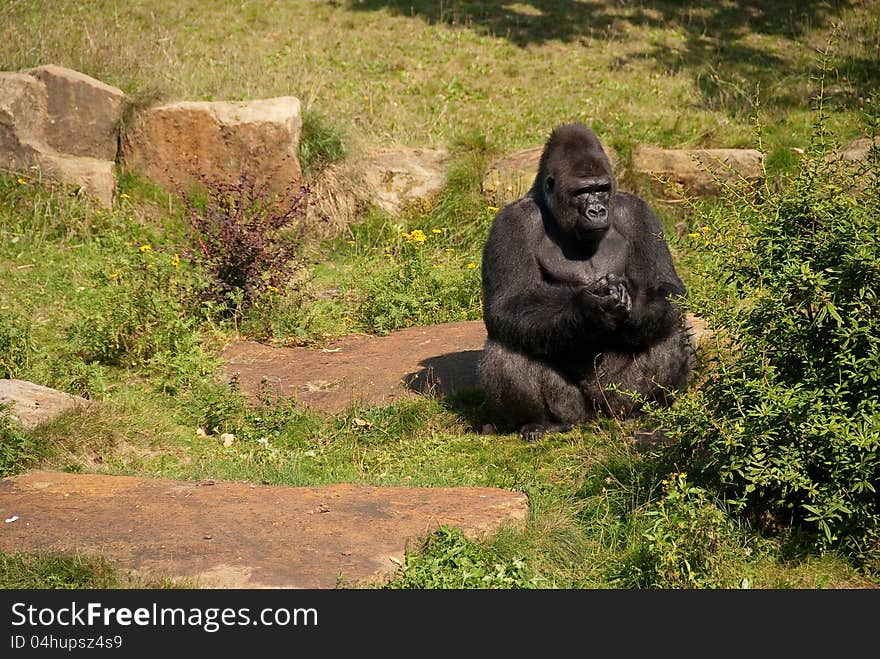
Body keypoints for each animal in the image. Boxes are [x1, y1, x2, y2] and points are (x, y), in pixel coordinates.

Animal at [478, 124, 692, 444]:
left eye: (601, 189)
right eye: (581, 192)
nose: (597, 211)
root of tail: (597, 414)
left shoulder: (638, 212)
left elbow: (667, 287)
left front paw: (634, 302)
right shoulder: (512, 222)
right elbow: (508, 303)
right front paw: (588, 308)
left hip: (615, 397)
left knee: (668, 330)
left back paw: (641, 411)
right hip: (574, 407)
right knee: (506, 344)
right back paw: (542, 422)